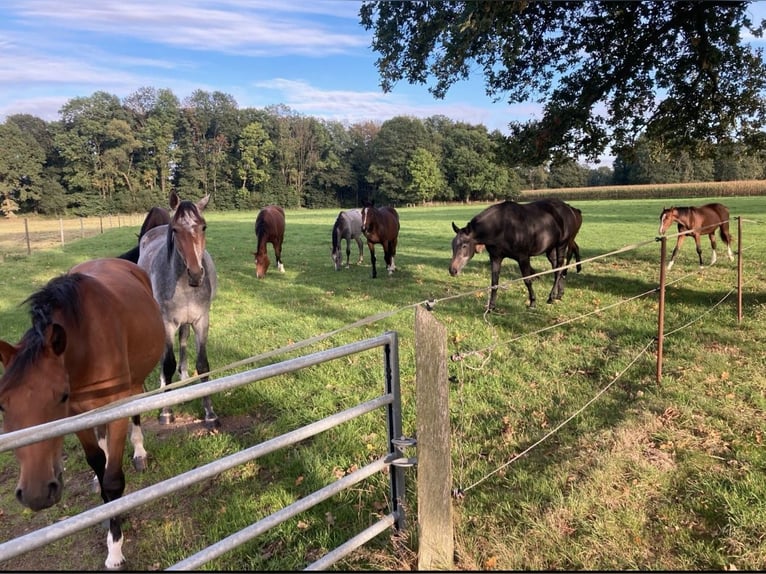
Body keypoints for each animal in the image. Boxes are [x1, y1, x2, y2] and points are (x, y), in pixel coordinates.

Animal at [0, 258, 164, 570]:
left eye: (61, 396)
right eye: (2, 405)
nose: (36, 494)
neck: (86, 342)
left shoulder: (117, 407)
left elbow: (113, 481)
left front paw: (115, 549)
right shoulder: (77, 416)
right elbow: (98, 463)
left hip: (134, 383)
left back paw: (139, 452)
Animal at [137, 191, 219, 428]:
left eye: (203, 227)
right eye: (175, 230)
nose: (196, 274)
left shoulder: (201, 320)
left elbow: (203, 365)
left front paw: (210, 414)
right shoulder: (167, 323)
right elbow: (167, 364)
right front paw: (166, 412)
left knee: (183, 342)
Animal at [449, 198, 583, 310]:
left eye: (464, 245)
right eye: (453, 245)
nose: (452, 270)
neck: (501, 227)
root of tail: (570, 209)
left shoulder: (523, 258)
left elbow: (527, 280)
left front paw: (532, 302)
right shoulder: (496, 257)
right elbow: (494, 282)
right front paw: (491, 306)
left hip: (561, 245)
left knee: (559, 269)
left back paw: (551, 297)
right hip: (550, 250)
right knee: (557, 269)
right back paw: (558, 294)